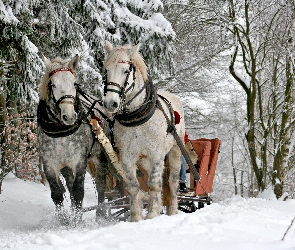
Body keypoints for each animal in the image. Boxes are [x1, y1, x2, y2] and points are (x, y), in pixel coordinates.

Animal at [102, 40, 185, 221]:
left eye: (126, 70)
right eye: (106, 70)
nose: (110, 103)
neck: (137, 117)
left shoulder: (157, 155)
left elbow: (154, 185)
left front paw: (152, 214)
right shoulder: (127, 157)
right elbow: (134, 187)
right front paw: (136, 217)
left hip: (175, 150)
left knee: (172, 182)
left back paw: (172, 210)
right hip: (144, 161)